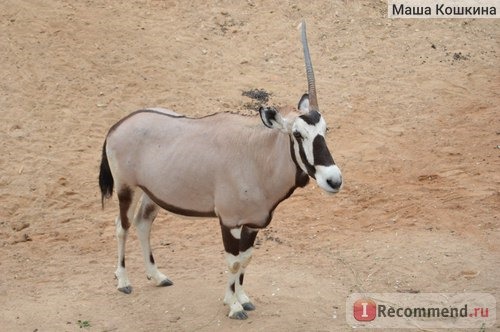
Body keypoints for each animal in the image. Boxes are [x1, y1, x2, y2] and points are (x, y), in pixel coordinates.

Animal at [98, 20, 340, 320]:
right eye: (297, 134)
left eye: (325, 130)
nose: (334, 180)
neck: (257, 155)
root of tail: (118, 125)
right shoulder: (229, 222)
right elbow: (233, 262)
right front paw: (234, 307)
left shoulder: (252, 223)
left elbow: (245, 259)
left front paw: (242, 298)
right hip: (126, 188)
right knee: (122, 226)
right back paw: (123, 281)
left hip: (151, 194)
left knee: (143, 223)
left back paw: (157, 276)